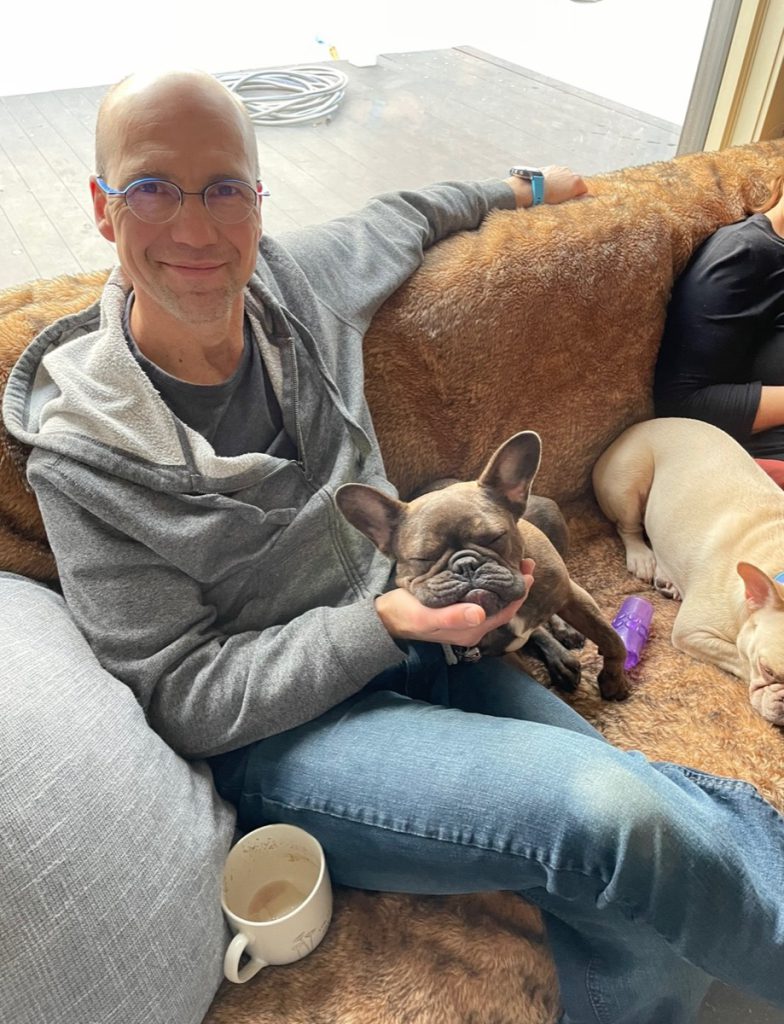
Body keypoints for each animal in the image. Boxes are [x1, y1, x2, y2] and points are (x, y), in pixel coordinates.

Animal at [597, 417, 784, 729]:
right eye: (767, 670)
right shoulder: (692, 631)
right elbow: (739, 656)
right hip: (628, 483)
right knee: (629, 528)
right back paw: (642, 558)